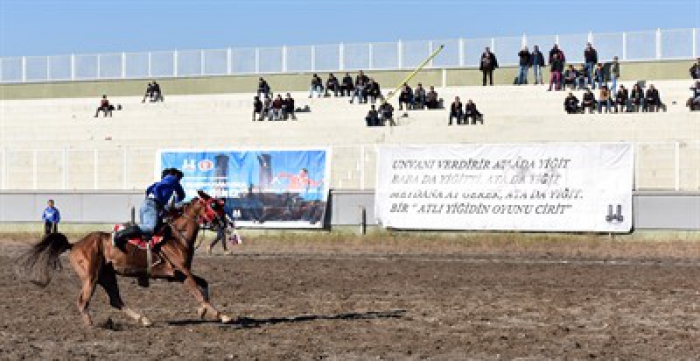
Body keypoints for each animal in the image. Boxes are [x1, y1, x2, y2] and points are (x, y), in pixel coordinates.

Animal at [17, 191, 232, 326]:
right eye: (214, 205)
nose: (226, 223)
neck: (177, 237)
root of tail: (75, 244)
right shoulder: (182, 272)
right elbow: (197, 290)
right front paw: (222, 315)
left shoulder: (180, 274)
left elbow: (204, 285)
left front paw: (203, 311)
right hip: (91, 277)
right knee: (83, 300)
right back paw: (91, 324)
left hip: (107, 276)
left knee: (115, 300)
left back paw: (143, 319)